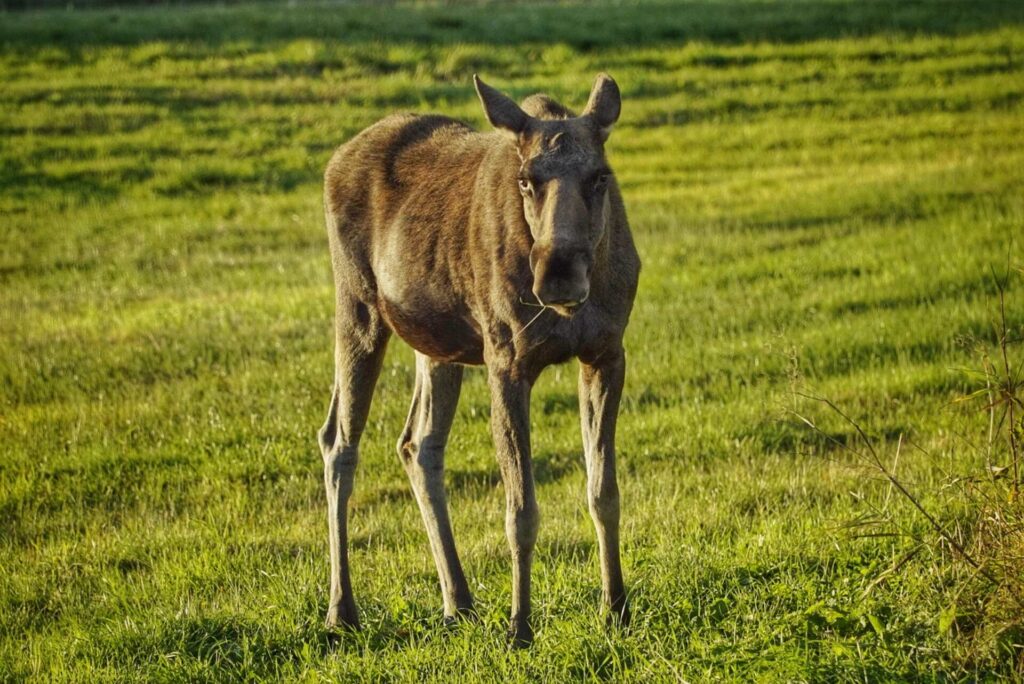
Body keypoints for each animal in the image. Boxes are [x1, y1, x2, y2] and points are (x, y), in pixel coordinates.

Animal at [317, 73, 640, 646]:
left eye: (601, 176)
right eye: (527, 180)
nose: (559, 272)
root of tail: (335, 160)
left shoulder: (606, 352)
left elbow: (603, 491)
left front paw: (616, 608)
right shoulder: (506, 360)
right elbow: (521, 510)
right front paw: (520, 626)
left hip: (435, 346)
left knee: (418, 444)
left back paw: (459, 600)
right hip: (357, 306)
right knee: (338, 441)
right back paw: (342, 610)